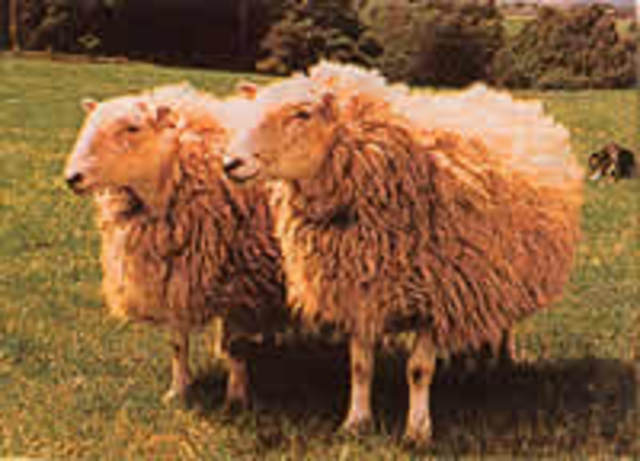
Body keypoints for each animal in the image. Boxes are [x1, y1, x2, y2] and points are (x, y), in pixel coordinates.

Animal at [64, 82, 289, 407]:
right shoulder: (175, 278)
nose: (72, 177)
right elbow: (177, 343)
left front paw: (236, 397)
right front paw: (178, 391)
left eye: (133, 127)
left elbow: (235, 345)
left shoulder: (241, 284)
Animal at [222, 61, 583, 444]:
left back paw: (500, 362)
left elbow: (419, 370)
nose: (230, 163)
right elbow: (360, 367)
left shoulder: (436, 298)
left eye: (302, 114)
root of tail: (502, 96)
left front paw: (417, 430)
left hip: (503, 275)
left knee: (503, 323)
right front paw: (356, 422)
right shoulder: (360, 293)